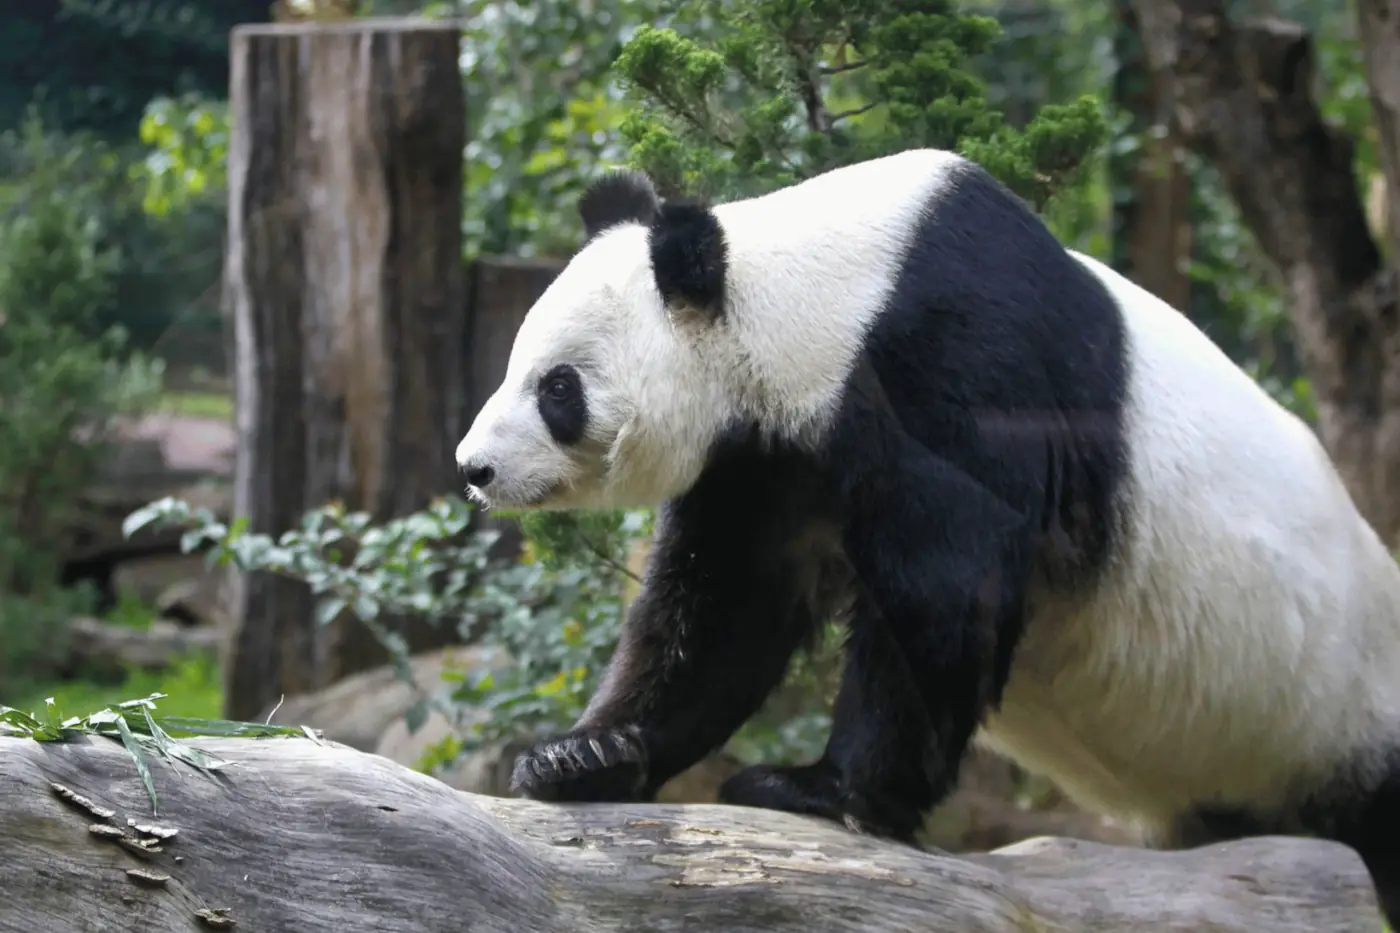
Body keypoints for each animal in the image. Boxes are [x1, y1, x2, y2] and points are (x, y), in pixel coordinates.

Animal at [454, 147, 1400, 921]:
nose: (474, 467)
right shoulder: (768, 458)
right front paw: (582, 755)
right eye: (511, 365)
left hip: (1351, 703)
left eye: (558, 387)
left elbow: (945, 585)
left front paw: (818, 789)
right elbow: (722, 611)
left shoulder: (951, 363)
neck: (816, 293)